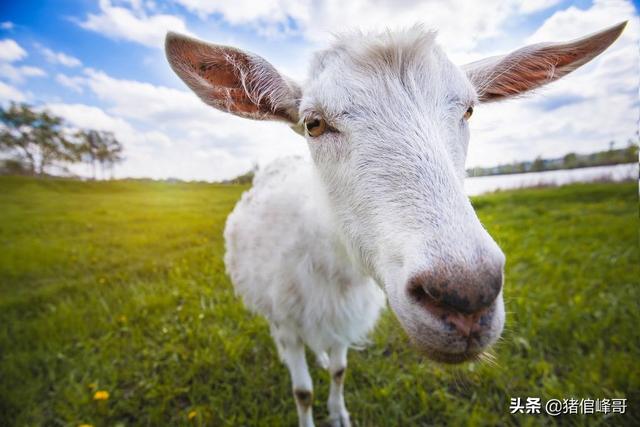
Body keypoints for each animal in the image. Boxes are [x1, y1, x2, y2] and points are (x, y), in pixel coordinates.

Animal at [165, 22, 624, 427]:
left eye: (469, 110)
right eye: (313, 123)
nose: (466, 296)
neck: (329, 262)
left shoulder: (343, 321)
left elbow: (338, 372)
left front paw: (341, 414)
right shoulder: (287, 323)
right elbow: (303, 392)